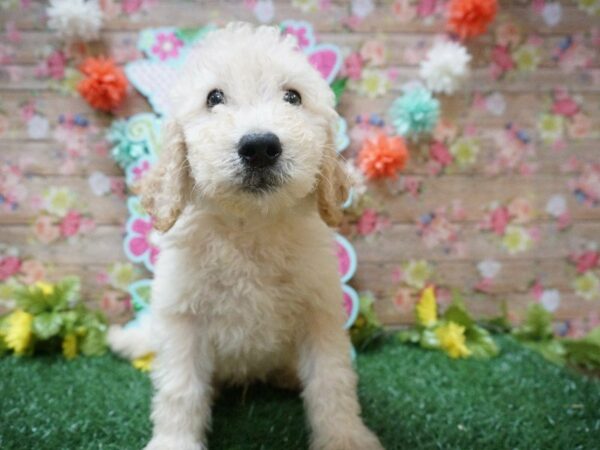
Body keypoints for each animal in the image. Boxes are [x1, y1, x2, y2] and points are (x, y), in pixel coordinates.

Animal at [108, 23, 384, 450]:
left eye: (293, 97)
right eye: (214, 98)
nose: (259, 146)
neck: (251, 226)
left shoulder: (320, 313)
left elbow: (332, 381)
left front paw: (344, 438)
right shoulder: (183, 317)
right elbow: (180, 389)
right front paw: (175, 440)